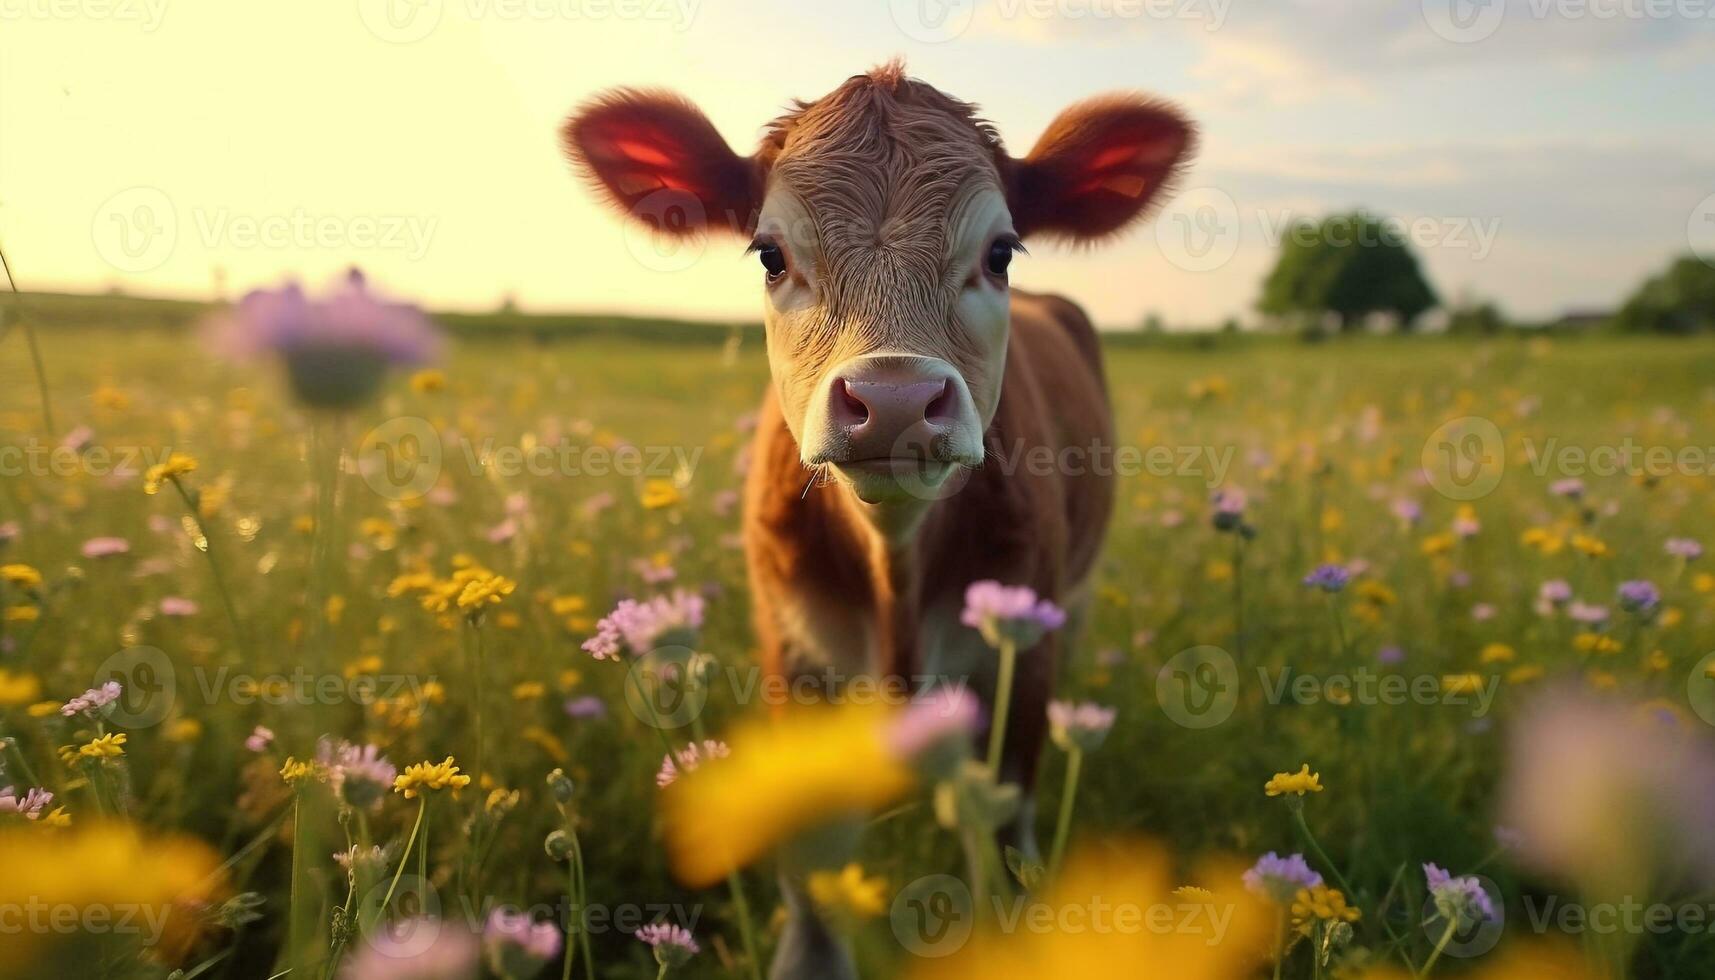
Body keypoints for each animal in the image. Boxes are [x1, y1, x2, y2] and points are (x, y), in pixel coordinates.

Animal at [565, 63, 1193, 980]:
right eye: (771, 253)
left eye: (999, 251)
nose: (894, 400)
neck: (894, 572)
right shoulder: (794, 656)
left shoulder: (1020, 660)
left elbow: (1005, 830)